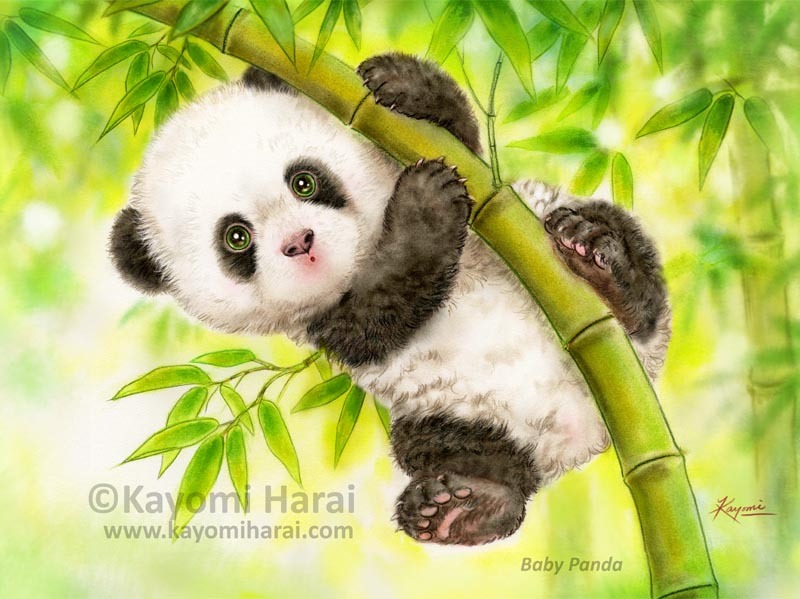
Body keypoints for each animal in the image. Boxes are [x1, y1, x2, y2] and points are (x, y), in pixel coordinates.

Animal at [109, 53, 670, 546]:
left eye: (304, 181)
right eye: (236, 238)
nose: (300, 243)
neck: (363, 250)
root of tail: (588, 434)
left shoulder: (492, 211)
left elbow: (468, 152)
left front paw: (398, 81)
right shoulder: (326, 324)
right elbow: (375, 319)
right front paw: (426, 203)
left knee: (637, 277)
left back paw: (599, 261)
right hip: (454, 412)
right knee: (457, 451)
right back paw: (464, 508)